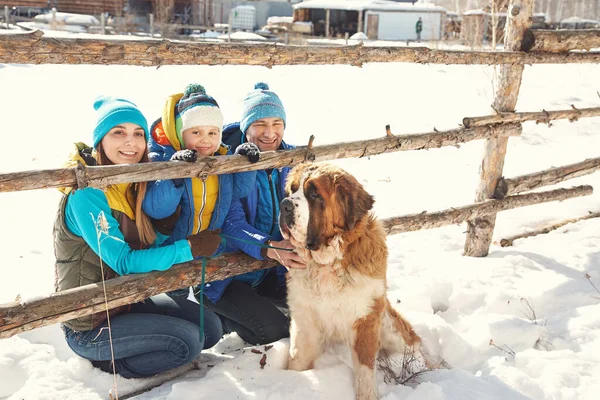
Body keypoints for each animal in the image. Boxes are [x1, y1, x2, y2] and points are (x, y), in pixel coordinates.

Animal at [278, 163, 428, 400]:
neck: (327, 262)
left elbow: (365, 368)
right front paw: (292, 381)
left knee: (417, 348)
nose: (284, 204)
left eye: (314, 194)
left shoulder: (365, 318)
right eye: (291, 190)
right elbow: (298, 358)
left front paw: (367, 394)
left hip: (393, 330)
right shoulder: (305, 321)